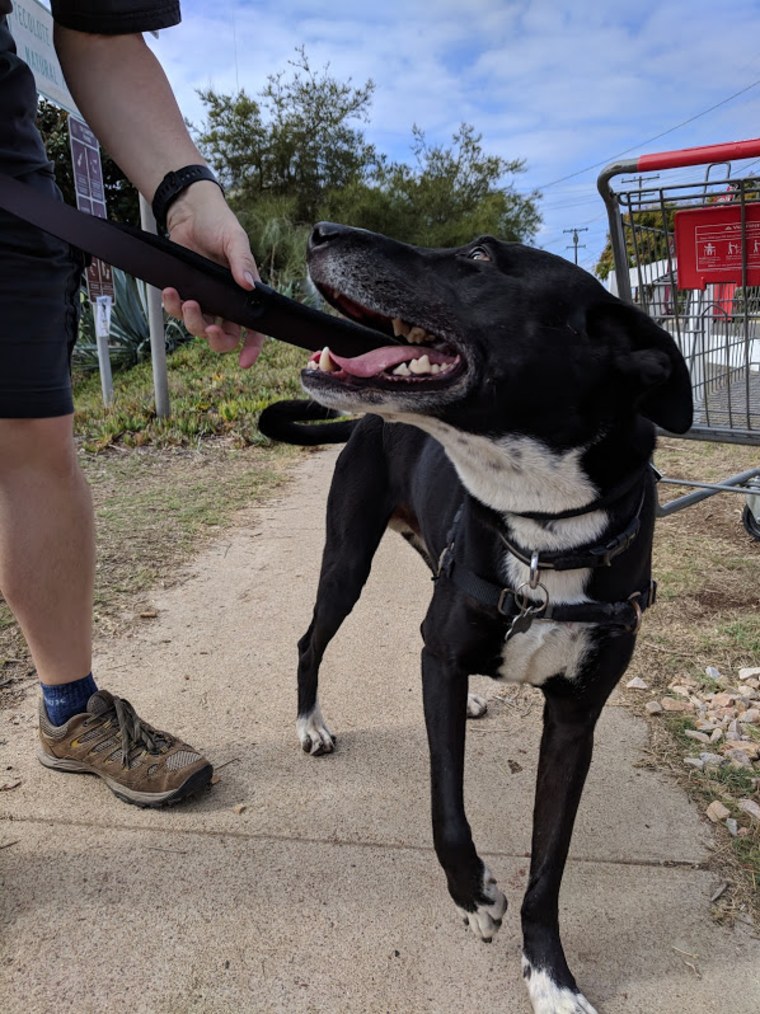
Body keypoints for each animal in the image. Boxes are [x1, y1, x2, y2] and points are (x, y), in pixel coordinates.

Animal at [259, 224, 693, 1014]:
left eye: (481, 258)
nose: (321, 231)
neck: (546, 528)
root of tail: (366, 423)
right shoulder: (439, 656)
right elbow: (447, 807)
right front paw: (475, 898)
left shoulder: (574, 721)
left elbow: (549, 868)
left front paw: (551, 977)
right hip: (347, 562)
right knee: (310, 640)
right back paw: (310, 723)